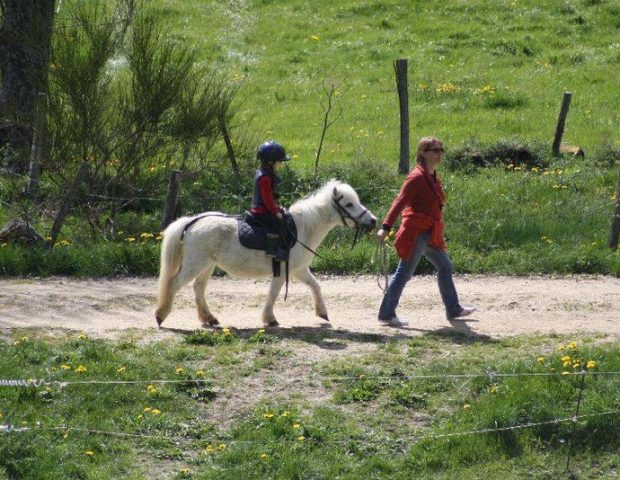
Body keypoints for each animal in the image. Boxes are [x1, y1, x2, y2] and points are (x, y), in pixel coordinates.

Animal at [155, 180, 378, 326]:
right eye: (348, 204)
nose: (373, 221)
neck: (301, 228)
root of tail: (193, 221)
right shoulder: (284, 270)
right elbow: (274, 294)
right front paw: (269, 319)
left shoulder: (299, 269)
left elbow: (315, 286)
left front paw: (322, 313)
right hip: (195, 265)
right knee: (174, 284)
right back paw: (161, 315)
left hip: (206, 266)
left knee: (198, 288)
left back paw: (208, 318)